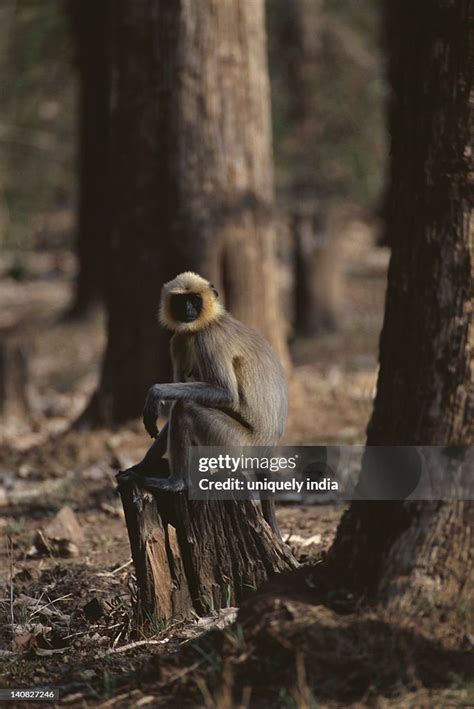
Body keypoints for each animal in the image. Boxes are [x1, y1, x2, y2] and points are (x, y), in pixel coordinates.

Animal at [124, 272, 286, 536]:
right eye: (181, 301)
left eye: (194, 300)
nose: (188, 310)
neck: (209, 321)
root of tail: (265, 450)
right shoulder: (178, 340)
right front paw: (141, 466)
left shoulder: (208, 338)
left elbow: (225, 394)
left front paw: (155, 393)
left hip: (235, 443)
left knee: (187, 408)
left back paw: (177, 483)